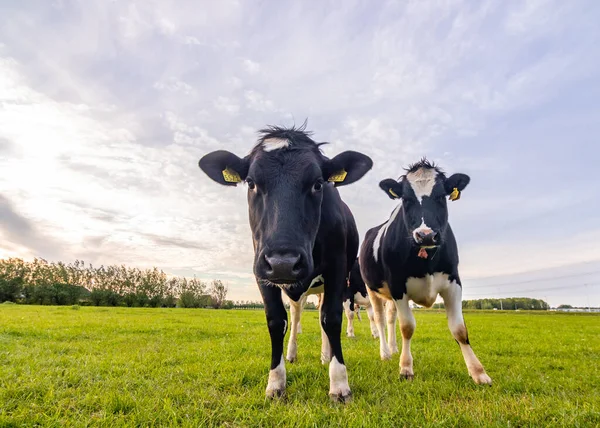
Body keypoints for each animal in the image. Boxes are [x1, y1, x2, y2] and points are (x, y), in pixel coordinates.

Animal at [199, 123, 372, 402]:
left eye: (318, 184)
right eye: (251, 183)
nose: (283, 262)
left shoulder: (337, 269)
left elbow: (332, 318)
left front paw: (339, 384)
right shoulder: (261, 270)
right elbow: (276, 320)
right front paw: (276, 382)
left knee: (322, 316)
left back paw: (325, 356)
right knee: (297, 314)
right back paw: (292, 353)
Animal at [356, 160, 492, 384]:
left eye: (441, 196)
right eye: (406, 199)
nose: (426, 235)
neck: (426, 259)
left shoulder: (453, 283)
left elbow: (459, 329)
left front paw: (479, 372)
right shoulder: (397, 285)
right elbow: (407, 327)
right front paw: (405, 368)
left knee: (391, 317)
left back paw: (394, 348)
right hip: (372, 289)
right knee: (379, 318)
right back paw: (386, 352)